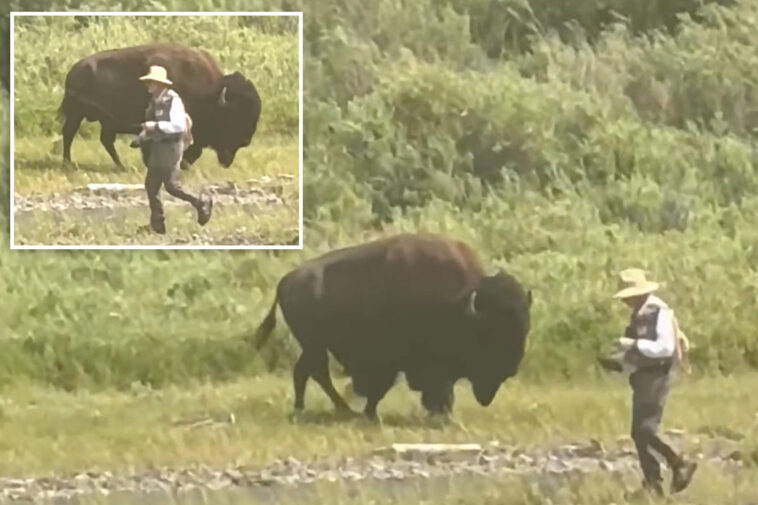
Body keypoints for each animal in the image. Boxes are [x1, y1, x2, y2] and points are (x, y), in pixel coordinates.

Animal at [58, 42, 261, 170]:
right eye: (234, 116)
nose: (246, 141)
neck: (210, 93)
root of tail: (74, 70)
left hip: (103, 121)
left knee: (105, 140)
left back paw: (120, 165)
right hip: (77, 114)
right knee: (69, 134)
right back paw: (68, 164)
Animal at [254, 233, 533, 419]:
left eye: (525, 327)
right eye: (494, 332)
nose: (512, 367)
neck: (464, 303)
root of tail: (285, 281)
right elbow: (386, 387)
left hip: (314, 346)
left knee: (310, 372)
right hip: (314, 345)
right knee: (312, 372)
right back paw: (325, 410)